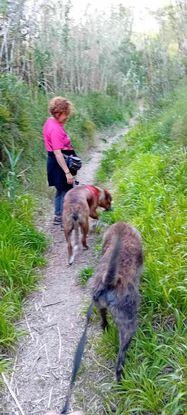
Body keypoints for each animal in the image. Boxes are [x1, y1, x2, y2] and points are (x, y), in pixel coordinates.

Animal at [90, 223, 143, 382]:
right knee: (120, 357)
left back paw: (105, 326)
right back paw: (120, 378)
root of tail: (109, 282)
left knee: (103, 316)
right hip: (128, 324)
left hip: (98, 304)